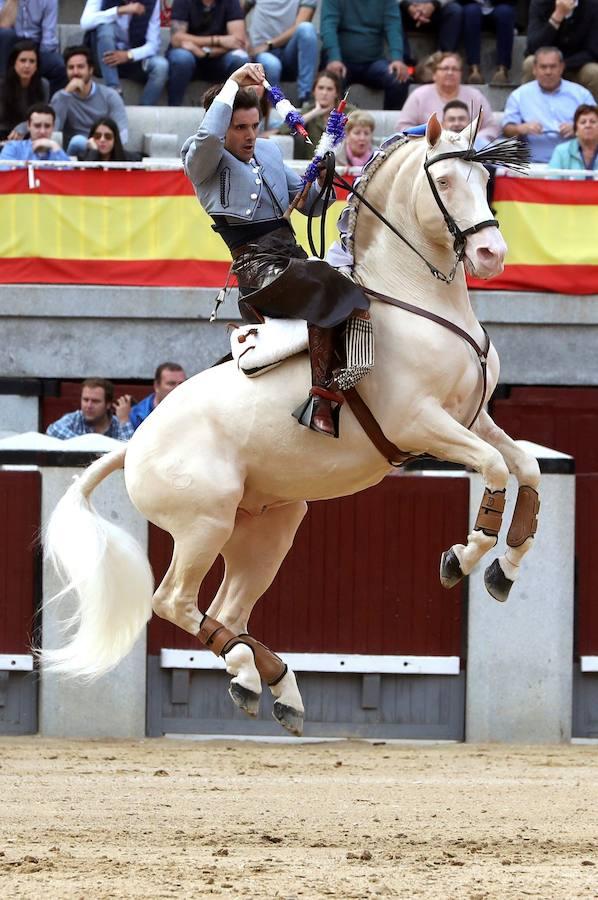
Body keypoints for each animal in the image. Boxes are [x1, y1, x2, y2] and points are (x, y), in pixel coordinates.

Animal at [39, 116, 540, 736]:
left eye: (485, 180)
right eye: (444, 181)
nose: (492, 253)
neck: (417, 302)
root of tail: (132, 446)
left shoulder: (476, 417)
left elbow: (526, 465)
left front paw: (505, 570)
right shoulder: (421, 423)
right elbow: (495, 467)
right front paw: (461, 558)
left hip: (268, 528)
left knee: (225, 610)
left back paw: (272, 687)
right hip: (203, 524)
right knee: (174, 600)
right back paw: (254, 676)